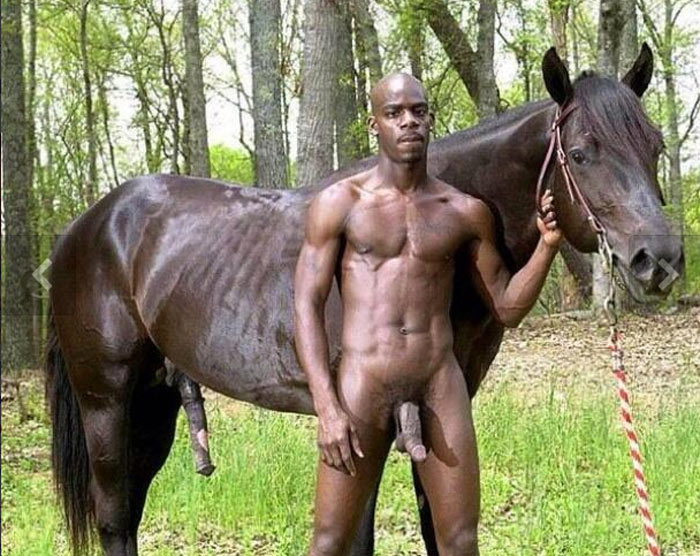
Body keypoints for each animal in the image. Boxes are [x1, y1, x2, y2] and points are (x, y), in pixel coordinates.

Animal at [45, 45, 683, 556]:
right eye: (582, 152)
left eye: (655, 144)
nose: (661, 259)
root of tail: (86, 226)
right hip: (107, 401)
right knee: (114, 519)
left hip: (154, 404)